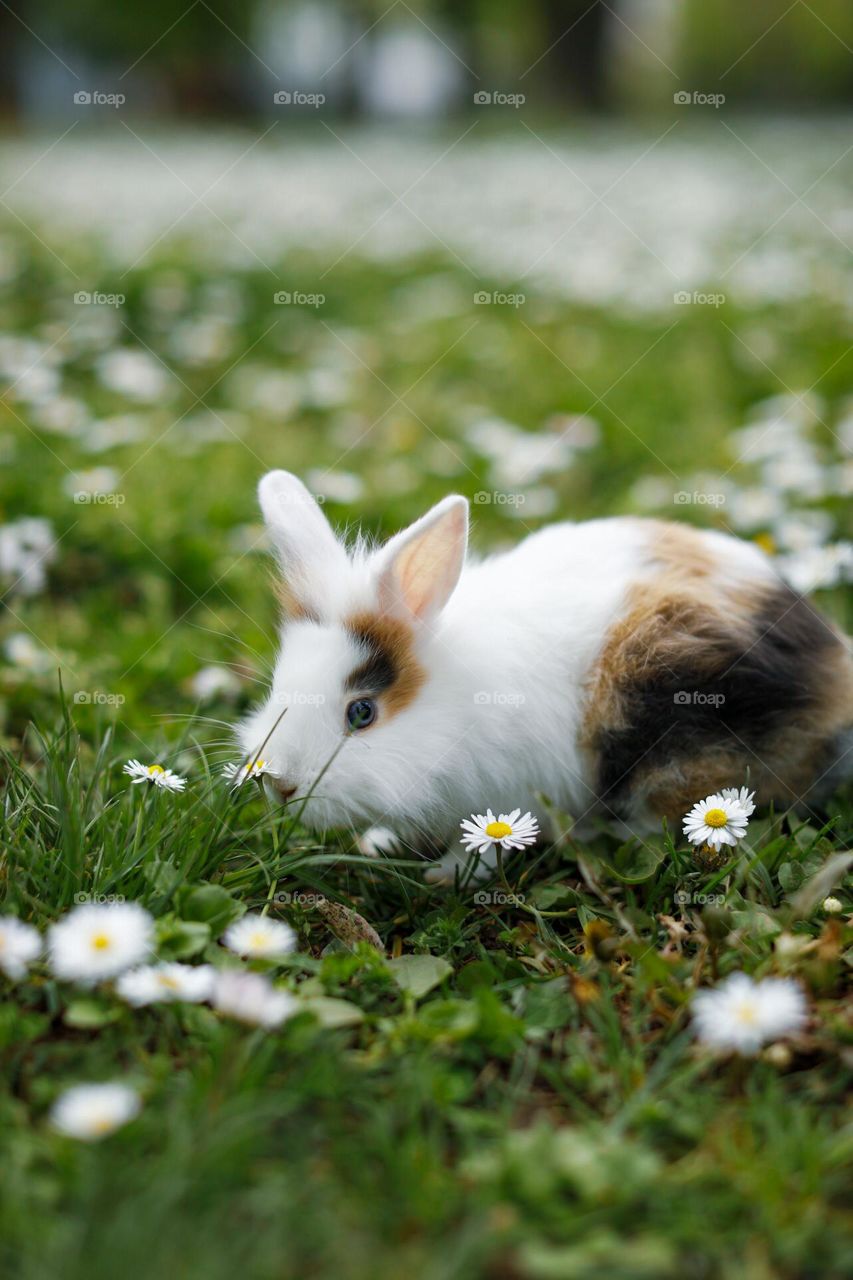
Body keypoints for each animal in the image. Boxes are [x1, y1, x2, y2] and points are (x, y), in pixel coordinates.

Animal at [237, 470, 853, 879]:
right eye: (278, 685)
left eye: (361, 713)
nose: (281, 785)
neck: (456, 704)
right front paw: (381, 843)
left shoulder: (510, 794)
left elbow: (484, 845)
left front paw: (446, 875)